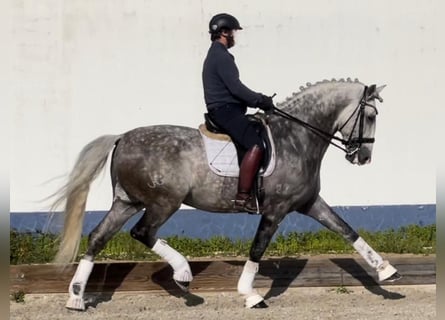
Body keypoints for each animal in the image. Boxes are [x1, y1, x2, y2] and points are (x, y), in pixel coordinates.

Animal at [51, 78, 398, 310]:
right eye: (370, 117)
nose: (363, 157)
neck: (297, 136)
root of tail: (122, 137)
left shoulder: (310, 203)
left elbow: (346, 230)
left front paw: (387, 272)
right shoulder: (276, 209)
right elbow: (258, 249)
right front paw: (251, 294)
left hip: (126, 202)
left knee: (98, 236)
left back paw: (76, 297)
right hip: (163, 202)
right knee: (143, 232)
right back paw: (183, 273)